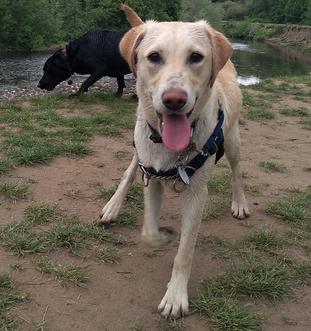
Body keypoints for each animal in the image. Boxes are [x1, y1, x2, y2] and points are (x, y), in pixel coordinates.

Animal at [100, 6, 251, 320]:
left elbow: (185, 253)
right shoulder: (151, 176)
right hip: (140, 142)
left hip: (232, 141)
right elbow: (148, 232)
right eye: (154, 56)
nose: (174, 100)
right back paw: (113, 206)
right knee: (130, 168)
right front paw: (164, 237)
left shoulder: (197, 195)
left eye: (196, 56)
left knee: (237, 172)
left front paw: (175, 296)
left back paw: (240, 202)